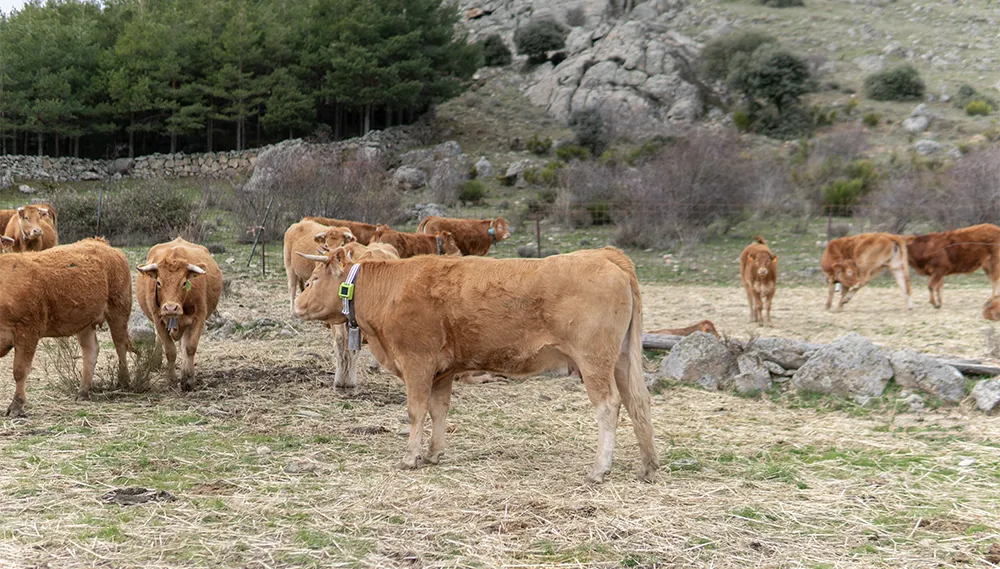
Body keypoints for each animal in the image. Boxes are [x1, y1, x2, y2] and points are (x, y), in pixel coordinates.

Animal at [0, 238, 132, 416]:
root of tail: (102, 243)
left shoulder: (27, 331)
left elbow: (20, 371)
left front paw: (16, 406)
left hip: (119, 309)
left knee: (120, 346)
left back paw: (123, 381)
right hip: (85, 322)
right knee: (91, 351)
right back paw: (83, 391)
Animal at [136, 237, 223, 391]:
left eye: (184, 282)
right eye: (158, 282)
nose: (171, 308)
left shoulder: (199, 318)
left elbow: (189, 348)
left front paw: (189, 380)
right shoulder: (158, 319)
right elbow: (170, 350)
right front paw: (171, 379)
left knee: (184, 346)